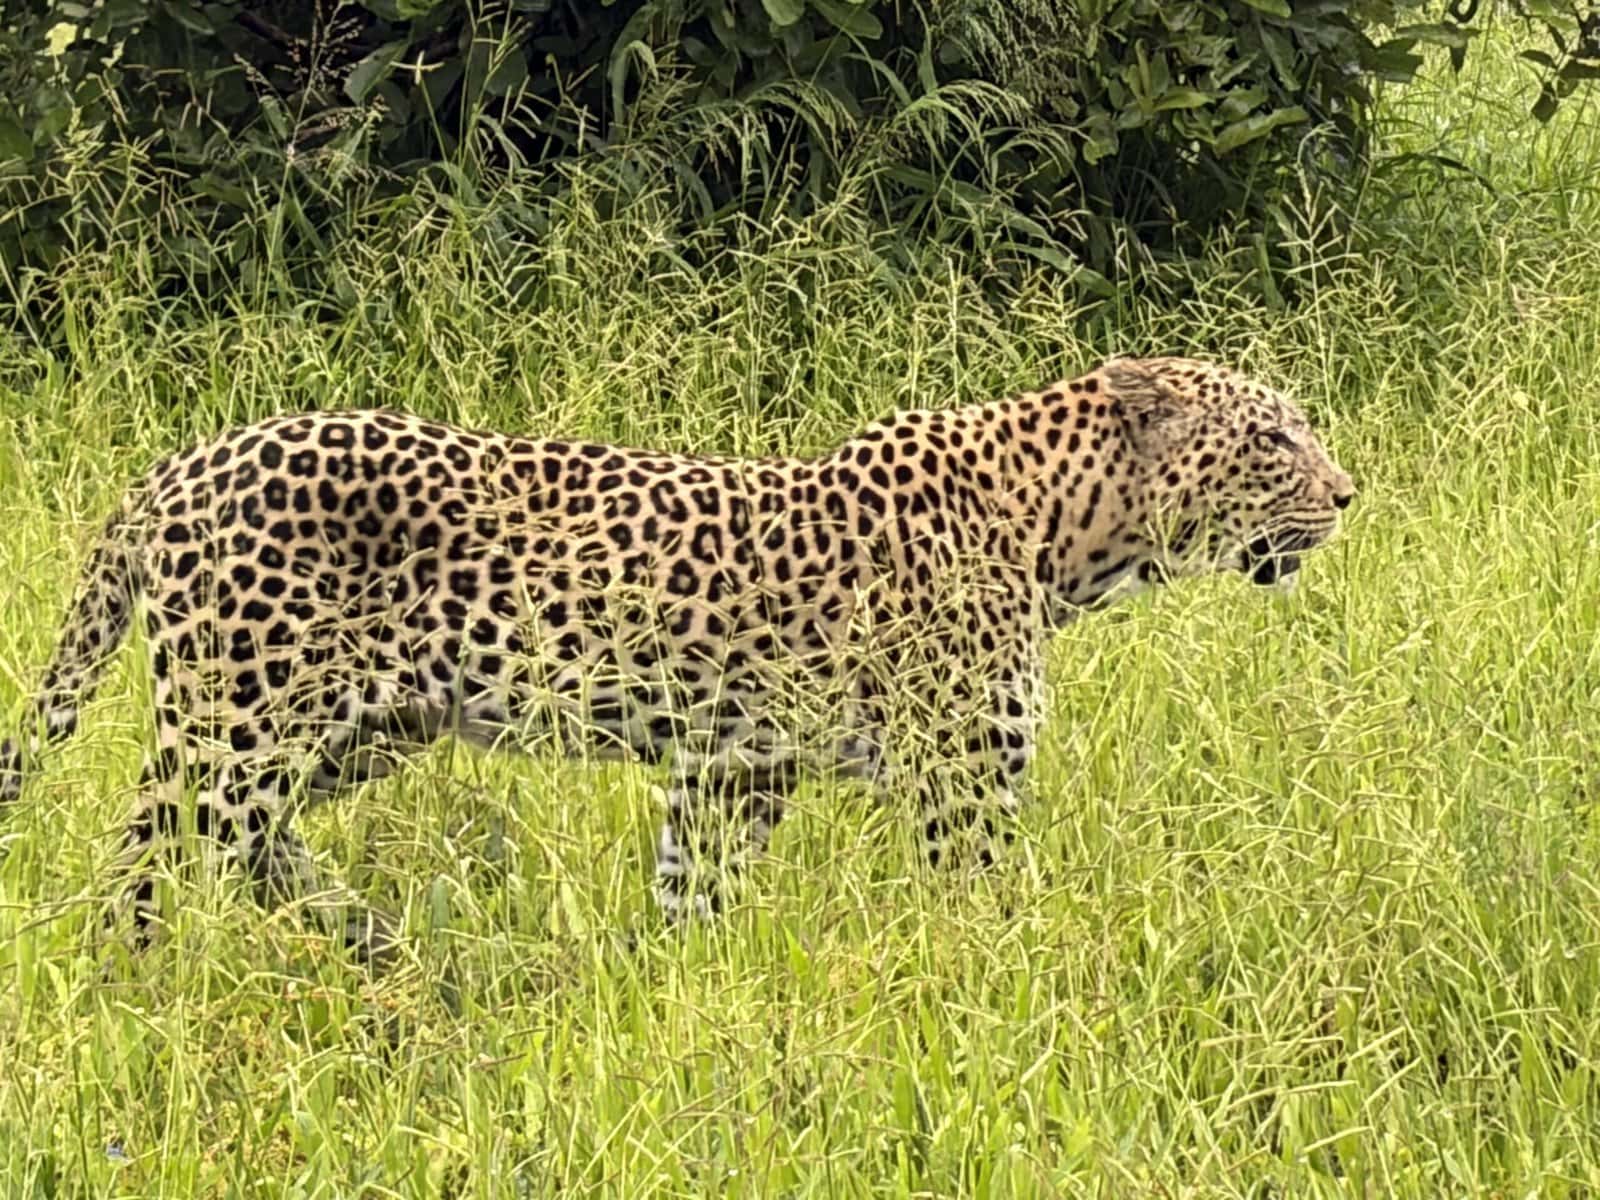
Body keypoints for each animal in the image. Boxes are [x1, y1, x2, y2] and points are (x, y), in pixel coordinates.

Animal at [0, 357, 1354, 961]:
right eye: (1274, 440)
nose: (1348, 494)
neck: (1071, 536)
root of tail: (180, 464)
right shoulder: (963, 777)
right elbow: (984, 911)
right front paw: (1005, 992)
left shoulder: (733, 768)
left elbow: (692, 890)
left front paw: (677, 992)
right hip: (241, 716)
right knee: (150, 852)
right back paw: (140, 978)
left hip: (361, 727)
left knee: (250, 844)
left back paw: (372, 937)